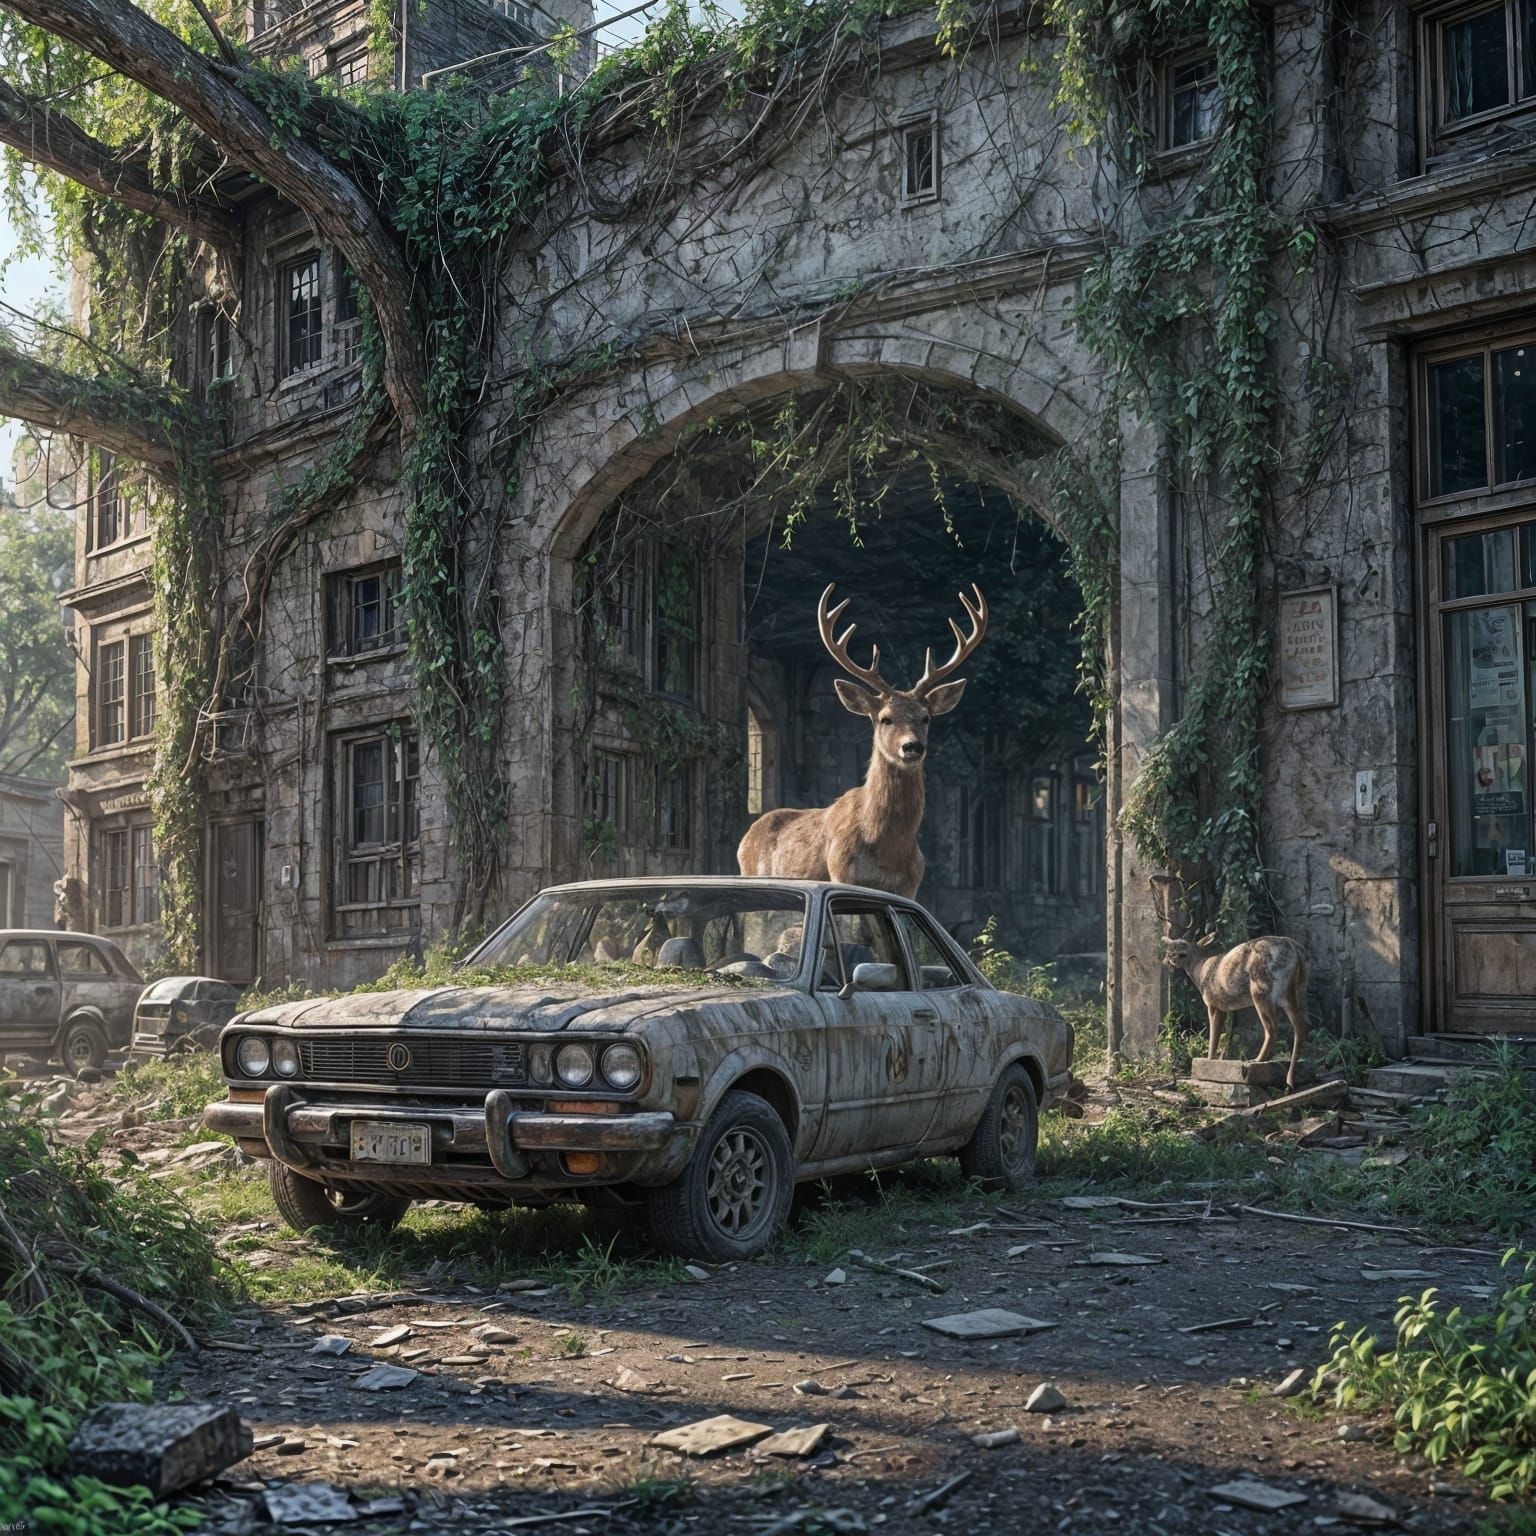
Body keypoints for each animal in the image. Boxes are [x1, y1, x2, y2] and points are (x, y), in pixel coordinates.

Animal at [736, 582, 987, 898]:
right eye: (885, 718)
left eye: (926, 718)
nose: (912, 746)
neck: (887, 850)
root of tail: (746, 836)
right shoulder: (841, 872)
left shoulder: (912, 885)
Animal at [1163, 933, 1312, 1090]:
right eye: (1169, 950)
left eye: (1182, 954)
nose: (1169, 959)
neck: (1200, 971)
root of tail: (1298, 951)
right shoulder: (1224, 1007)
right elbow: (1221, 1034)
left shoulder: (1212, 1001)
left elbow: (1213, 1033)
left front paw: (1208, 1061)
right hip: (1296, 991)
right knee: (1301, 1025)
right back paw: (1290, 1080)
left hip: (1261, 988)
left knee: (1272, 1027)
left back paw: (1257, 1060)